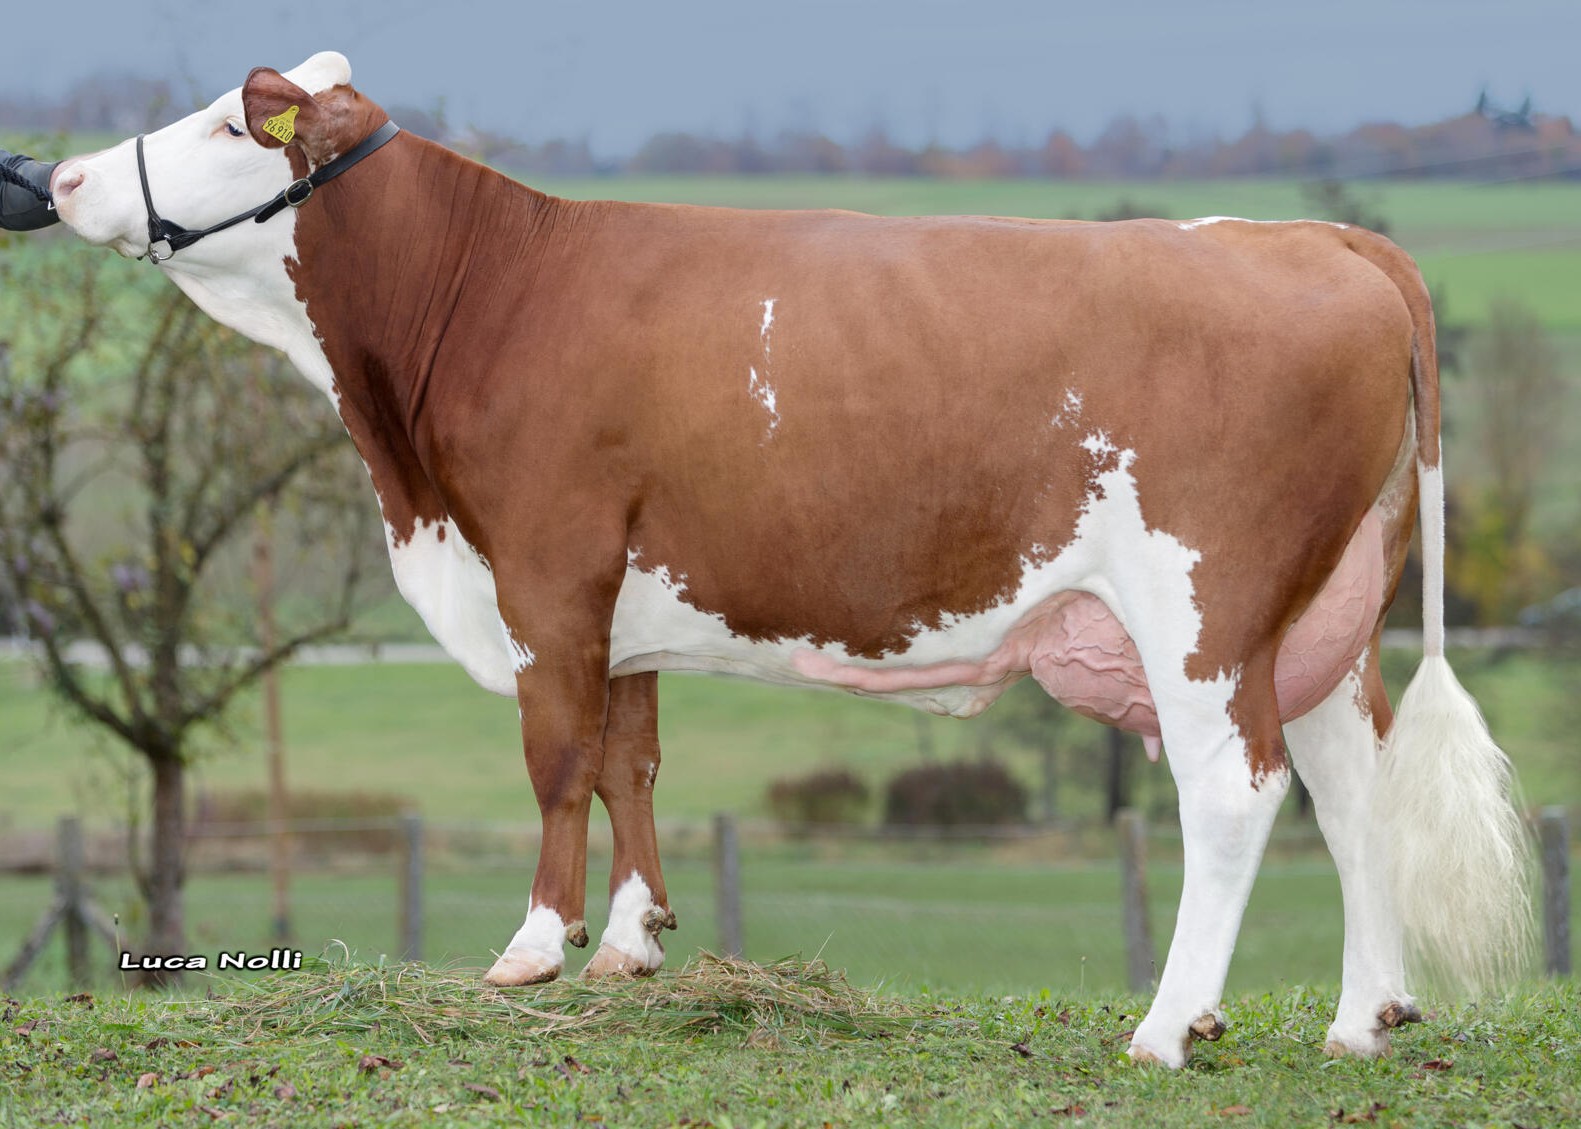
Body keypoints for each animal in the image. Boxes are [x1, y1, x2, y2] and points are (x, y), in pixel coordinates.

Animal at [50, 52, 1530, 1067]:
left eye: (228, 122)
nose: (58, 178)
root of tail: (1314, 236)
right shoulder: (626, 588)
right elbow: (631, 759)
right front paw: (631, 942)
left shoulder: (547, 564)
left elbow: (556, 756)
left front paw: (531, 951)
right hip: (1319, 615)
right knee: (1350, 779)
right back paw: (1362, 1017)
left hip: (1204, 608)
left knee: (1235, 791)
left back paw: (1169, 1026)